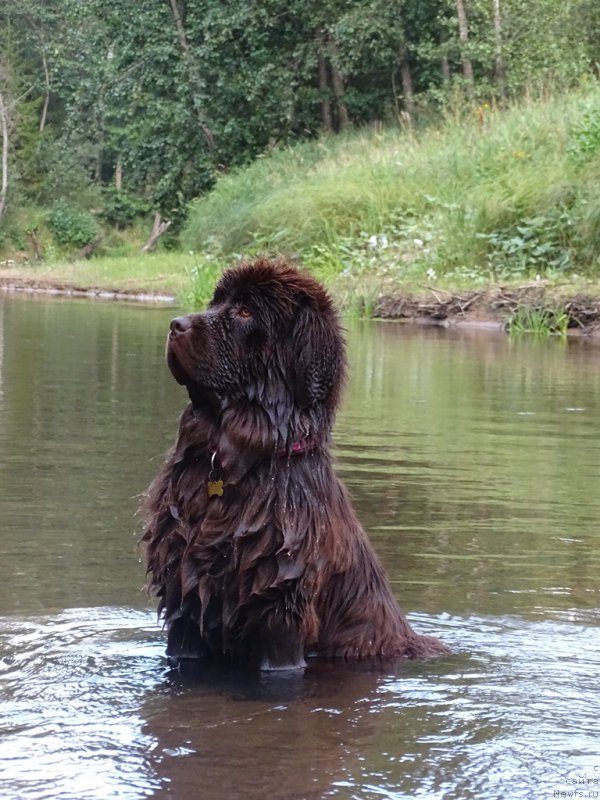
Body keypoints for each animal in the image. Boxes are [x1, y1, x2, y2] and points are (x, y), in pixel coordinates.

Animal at [142, 258, 450, 668]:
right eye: (216, 302)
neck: (234, 461)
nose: (176, 324)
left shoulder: (280, 614)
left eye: (245, 311)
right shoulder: (185, 601)